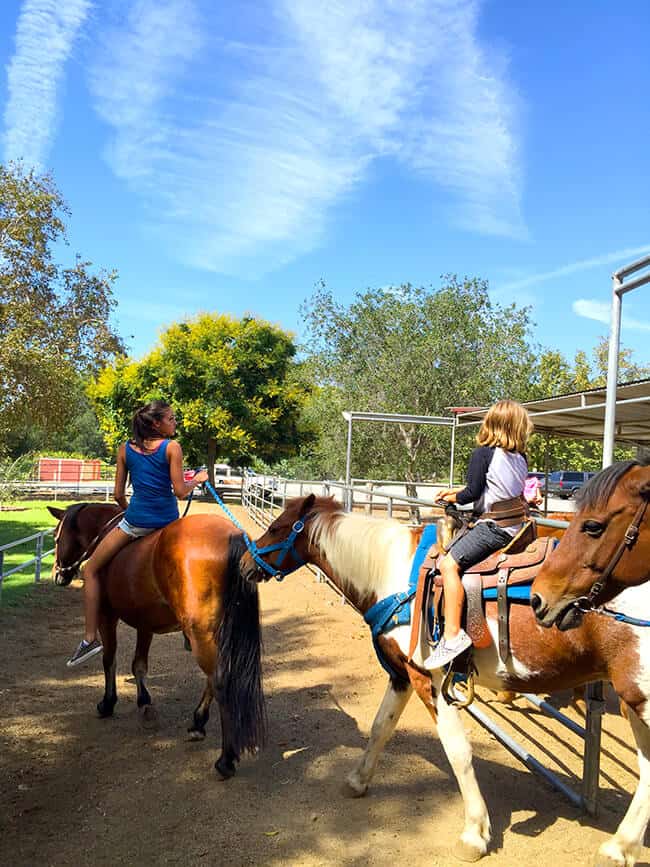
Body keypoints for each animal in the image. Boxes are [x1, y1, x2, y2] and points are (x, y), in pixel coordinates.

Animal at [47, 502, 266, 780]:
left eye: (56, 538)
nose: (57, 574)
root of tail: (231, 536)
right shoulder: (145, 623)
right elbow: (139, 664)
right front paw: (144, 702)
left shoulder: (107, 616)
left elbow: (109, 659)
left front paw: (108, 703)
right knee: (215, 676)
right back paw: (197, 722)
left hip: (201, 633)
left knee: (220, 680)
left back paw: (225, 759)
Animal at [240, 482, 648, 867]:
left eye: (278, 527)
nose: (245, 563)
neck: (393, 573)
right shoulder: (402, 673)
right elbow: (380, 726)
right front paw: (357, 780)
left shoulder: (430, 679)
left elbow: (457, 750)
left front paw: (474, 834)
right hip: (633, 703)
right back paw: (619, 847)